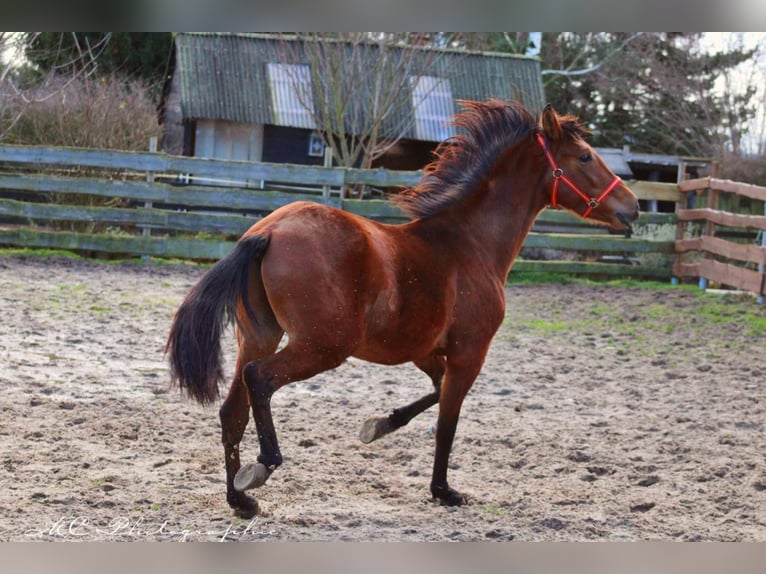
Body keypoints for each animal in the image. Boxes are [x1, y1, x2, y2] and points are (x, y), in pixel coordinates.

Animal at [168, 98, 640, 516]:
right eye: (585, 157)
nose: (632, 207)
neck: (471, 244)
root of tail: (267, 232)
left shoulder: (426, 352)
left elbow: (432, 396)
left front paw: (378, 426)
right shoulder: (469, 353)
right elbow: (447, 422)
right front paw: (443, 491)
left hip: (260, 336)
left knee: (233, 412)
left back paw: (240, 500)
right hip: (323, 346)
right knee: (259, 381)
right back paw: (262, 467)